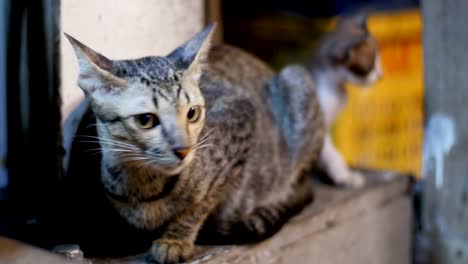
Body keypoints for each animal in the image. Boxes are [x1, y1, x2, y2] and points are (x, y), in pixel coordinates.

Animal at [65, 23, 326, 262]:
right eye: (146, 120)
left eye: (193, 113)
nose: (184, 150)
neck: (144, 186)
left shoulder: (241, 118)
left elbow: (201, 202)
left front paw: (175, 240)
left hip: (297, 79)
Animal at [308, 12, 384, 188]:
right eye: (369, 66)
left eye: (379, 58)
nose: (381, 75)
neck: (336, 88)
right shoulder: (318, 129)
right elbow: (332, 154)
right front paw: (344, 176)